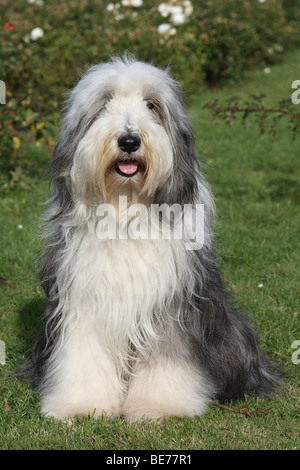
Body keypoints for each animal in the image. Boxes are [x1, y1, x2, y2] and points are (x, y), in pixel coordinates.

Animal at [19, 57, 278, 420]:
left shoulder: (171, 301)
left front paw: (160, 405)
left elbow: (168, 356)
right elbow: (83, 353)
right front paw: (81, 405)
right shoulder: (84, 299)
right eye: (104, 103)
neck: (126, 206)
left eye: (152, 105)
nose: (129, 141)